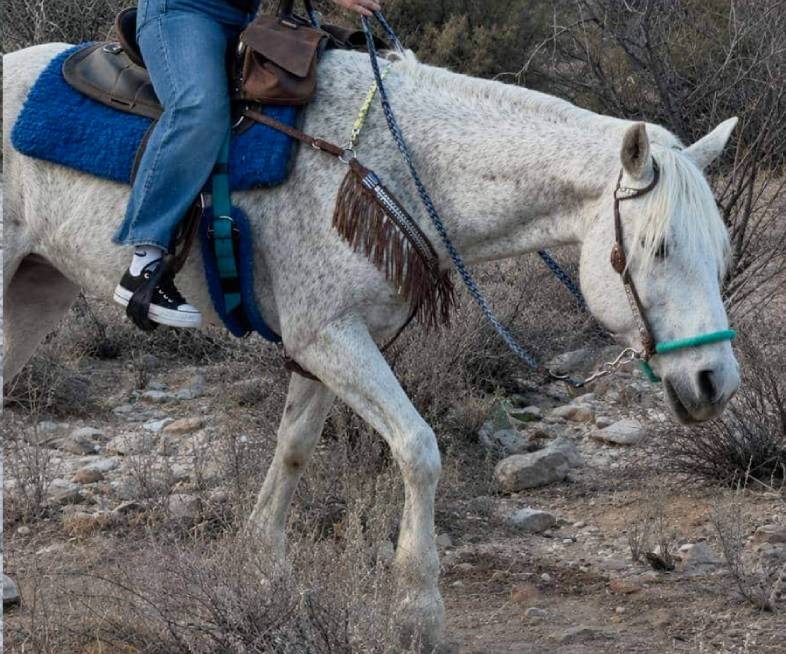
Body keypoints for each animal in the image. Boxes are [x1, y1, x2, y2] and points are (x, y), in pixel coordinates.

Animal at [3, 41, 740, 649]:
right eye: (658, 248)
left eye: (721, 250)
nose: (715, 382)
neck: (395, 164)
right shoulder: (330, 335)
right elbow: (417, 448)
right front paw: (418, 612)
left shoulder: (329, 343)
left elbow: (295, 445)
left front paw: (266, 571)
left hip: (34, 291)